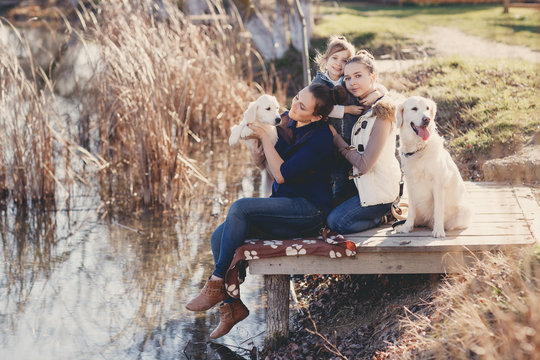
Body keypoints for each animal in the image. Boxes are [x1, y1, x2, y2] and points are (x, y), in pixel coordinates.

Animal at [394, 95, 470, 238]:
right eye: (414, 108)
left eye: (427, 108)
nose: (427, 119)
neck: (419, 148)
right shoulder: (410, 184)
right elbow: (411, 209)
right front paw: (407, 227)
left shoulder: (438, 184)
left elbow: (438, 210)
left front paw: (438, 230)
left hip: (463, 212)